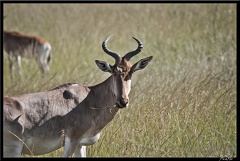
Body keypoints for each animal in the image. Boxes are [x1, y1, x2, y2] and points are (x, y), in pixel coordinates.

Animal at [2, 35, 153, 157]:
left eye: (131, 72)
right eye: (114, 71)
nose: (123, 101)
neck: (88, 98)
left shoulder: (80, 144)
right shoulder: (72, 140)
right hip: (13, 149)